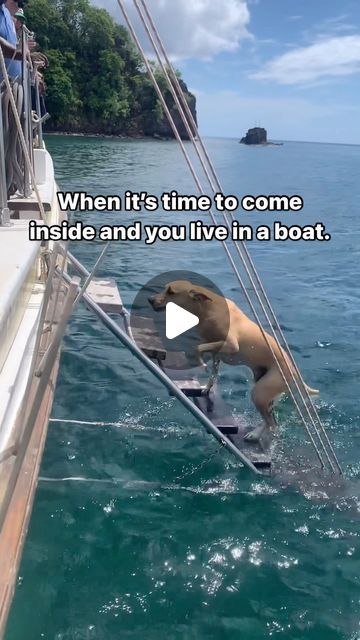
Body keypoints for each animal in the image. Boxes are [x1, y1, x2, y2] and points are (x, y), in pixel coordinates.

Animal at [149, 282, 318, 442]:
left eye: (171, 291)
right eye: (165, 288)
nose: (150, 299)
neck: (207, 308)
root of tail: (295, 371)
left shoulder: (230, 345)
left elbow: (198, 348)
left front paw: (202, 365)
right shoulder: (216, 353)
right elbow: (211, 371)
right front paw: (206, 388)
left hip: (260, 393)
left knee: (272, 423)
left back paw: (255, 435)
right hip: (265, 393)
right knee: (271, 420)